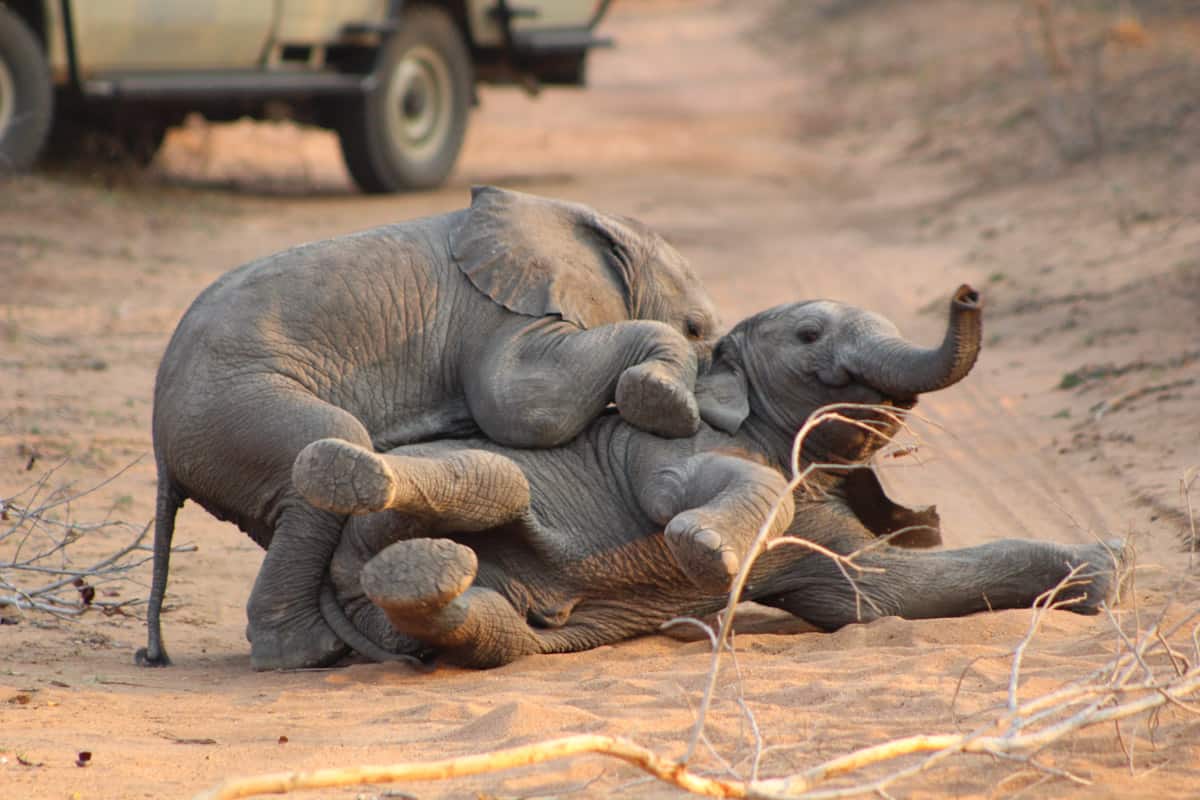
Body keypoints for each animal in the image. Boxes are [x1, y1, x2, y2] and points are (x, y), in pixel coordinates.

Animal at [137, 186, 721, 671]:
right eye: (695, 328)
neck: (581, 221)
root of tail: (161, 446)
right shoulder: (494, 313)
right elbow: (522, 405)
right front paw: (666, 404)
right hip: (229, 407)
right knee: (329, 439)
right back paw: (310, 656)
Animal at [289, 285, 1127, 668]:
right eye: (809, 335)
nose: (968, 293)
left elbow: (875, 594)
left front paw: (1105, 566)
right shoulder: (665, 445)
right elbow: (679, 502)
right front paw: (709, 553)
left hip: (456, 615)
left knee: (489, 627)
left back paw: (425, 573)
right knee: (498, 483)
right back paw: (344, 470)